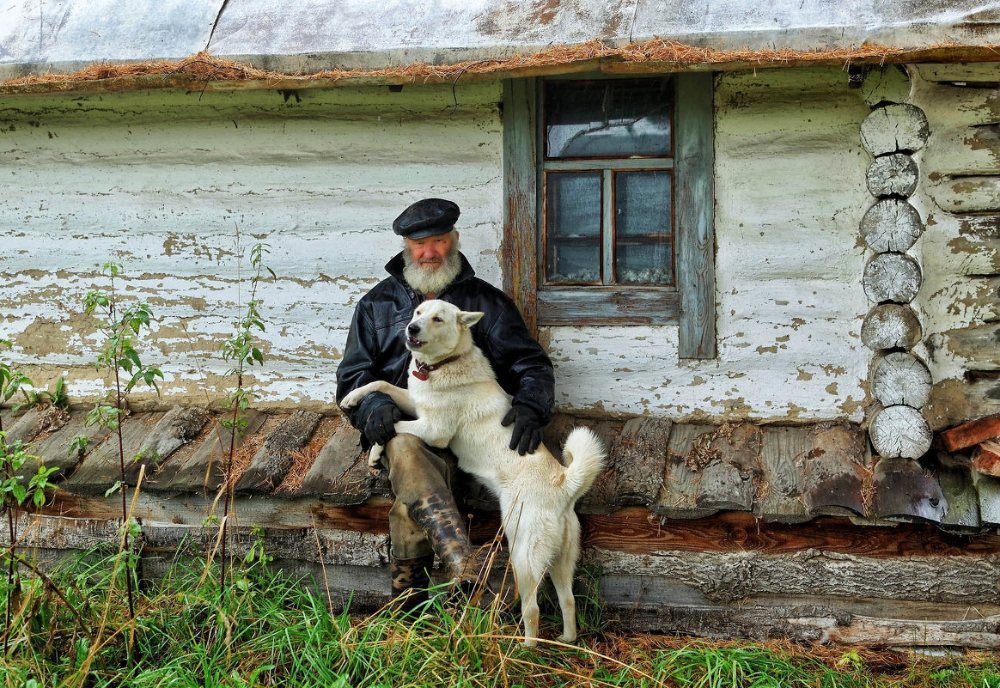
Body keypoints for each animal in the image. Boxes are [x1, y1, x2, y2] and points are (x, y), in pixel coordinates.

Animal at [340, 300, 604, 644]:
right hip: (561, 559)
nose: (411, 328)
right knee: (568, 600)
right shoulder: (414, 402)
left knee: (532, 608)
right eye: (418, 312)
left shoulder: (433, 429)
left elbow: (395, 428)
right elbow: (381, 387)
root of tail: (563, 483)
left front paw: (374, 448)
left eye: (437, 319)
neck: (442, 365)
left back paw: (523, 647)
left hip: (523, 555)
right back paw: (566, 640)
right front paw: (354, 399)